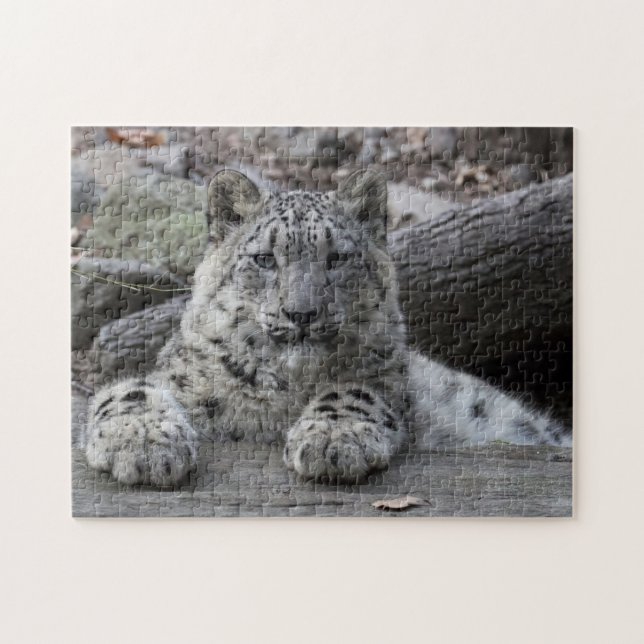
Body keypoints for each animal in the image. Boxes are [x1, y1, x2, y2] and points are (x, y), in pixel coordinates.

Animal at [84, 169, 571, 486]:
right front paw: (144, 446)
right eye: (265, 258)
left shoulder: (390, 383)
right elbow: (128, 391)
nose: (302, 313)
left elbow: (355, 391)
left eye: (337, 258)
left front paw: (333, 440)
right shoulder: (177, 380)